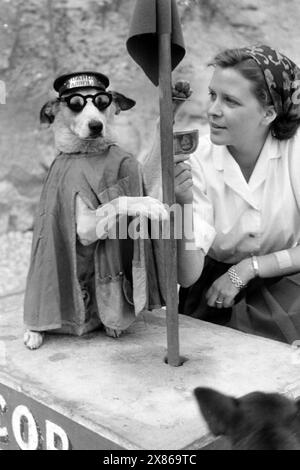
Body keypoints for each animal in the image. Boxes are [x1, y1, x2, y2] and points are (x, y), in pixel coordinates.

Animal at [24, 70, 166, 348]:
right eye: (75, 104)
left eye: (102, 101)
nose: (96, 126)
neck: (89, 153)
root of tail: (79, 328)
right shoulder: (84, 225)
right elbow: (117, 201)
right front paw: (147, 204)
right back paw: (34, 332)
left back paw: (111, 326)